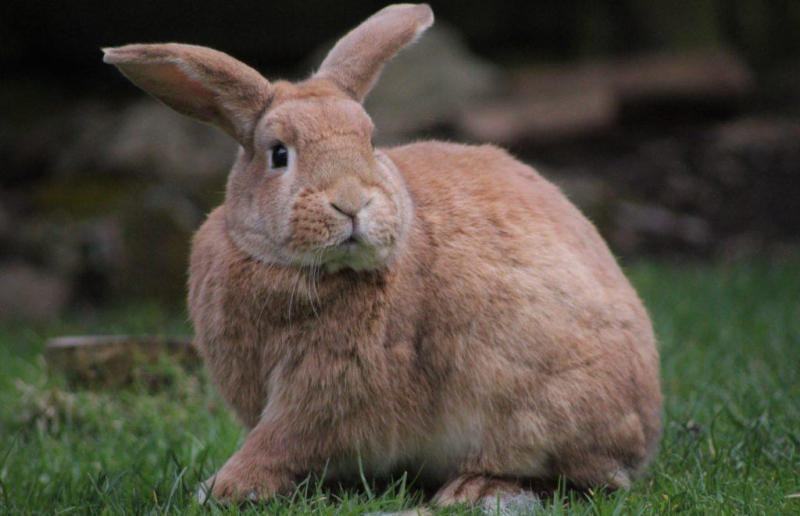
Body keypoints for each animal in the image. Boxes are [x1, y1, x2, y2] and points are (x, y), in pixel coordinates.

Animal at [103, 1, 660, 508]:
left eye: (370, 142)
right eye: (279, 154)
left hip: (532, 407)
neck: (299, 269)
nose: (352, 202)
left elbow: (281, 440)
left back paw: (473, 489)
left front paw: (223, 488)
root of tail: (645, 425)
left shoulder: (325, 390)